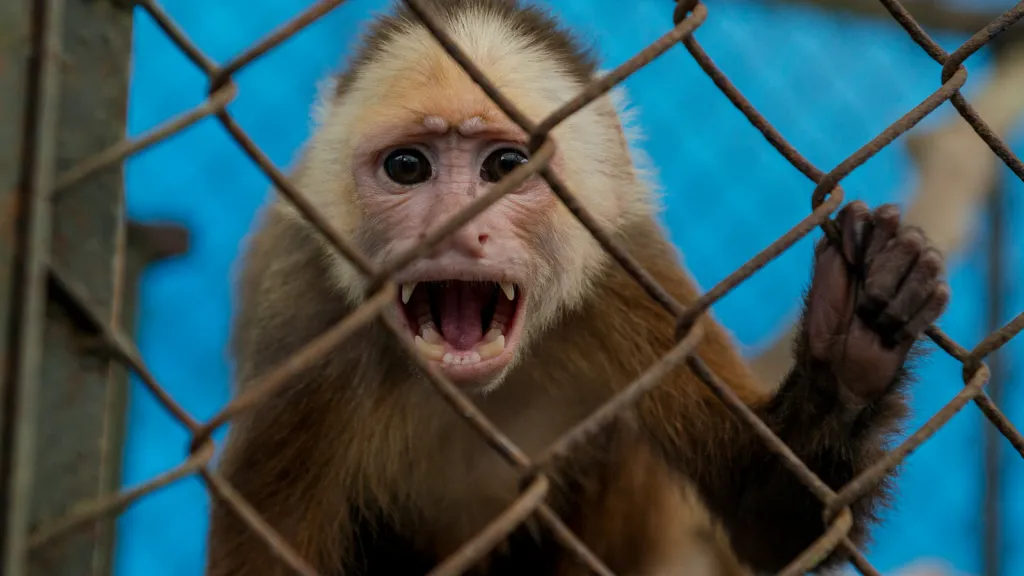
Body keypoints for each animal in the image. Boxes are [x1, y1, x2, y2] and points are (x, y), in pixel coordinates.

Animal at [205, 0, 951, 574]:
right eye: (407, 167)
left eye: (506, 164)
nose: (454, 228)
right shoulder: (306, 322)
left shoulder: (630, 274)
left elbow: (769, 516)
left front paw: (852, 344)